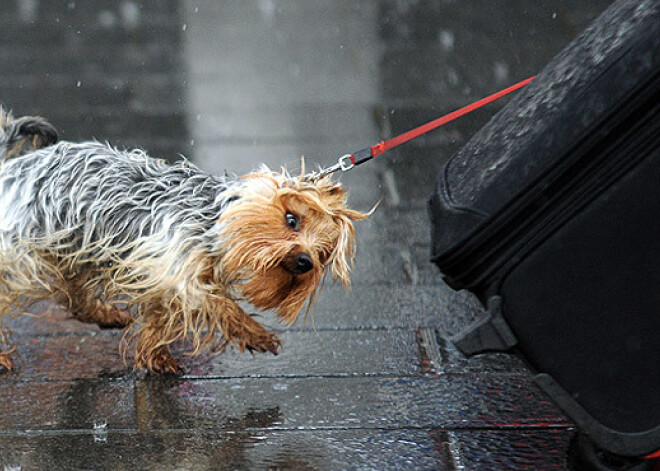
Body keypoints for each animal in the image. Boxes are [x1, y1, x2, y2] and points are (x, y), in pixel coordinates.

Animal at [0, 109, 368, 374]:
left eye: (323, 253)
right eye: (292, 219)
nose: (305, 261)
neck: (212, 221)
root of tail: (13, 166)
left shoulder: (157, 272)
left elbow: (162, 317)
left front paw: (154, 355)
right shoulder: (174, 268)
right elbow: (217, 304)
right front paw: (255, 333)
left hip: (78, 249)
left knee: (75, 294)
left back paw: (107, 315)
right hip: (24, 256)